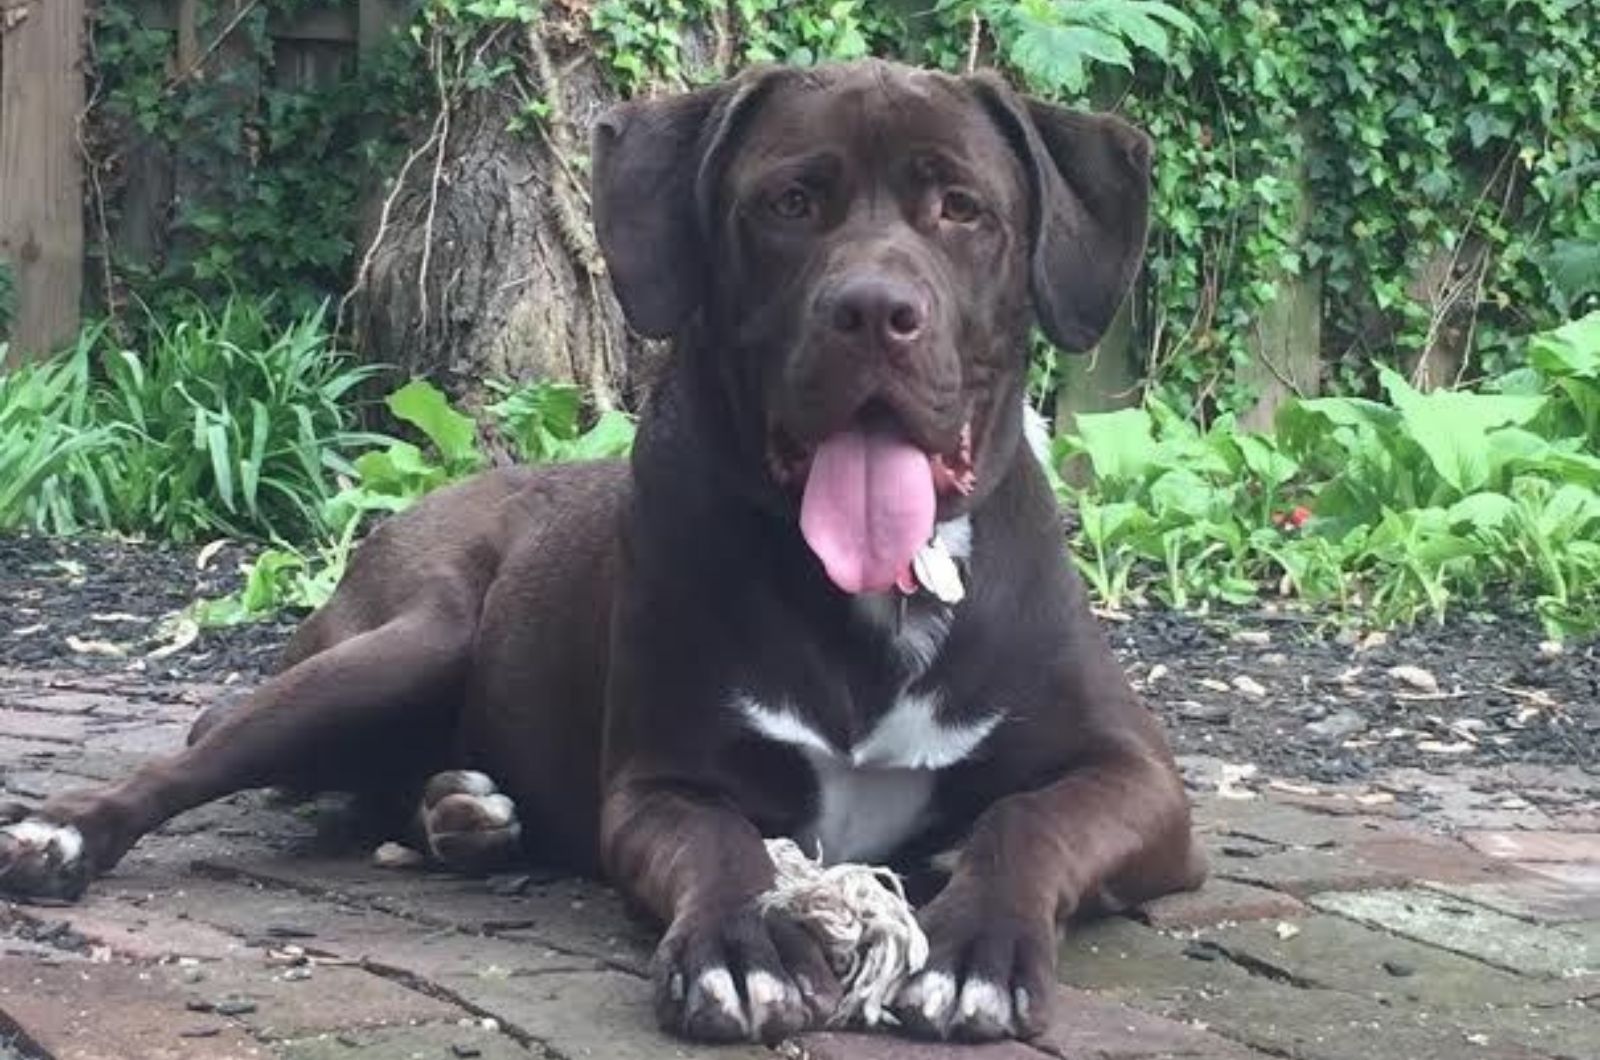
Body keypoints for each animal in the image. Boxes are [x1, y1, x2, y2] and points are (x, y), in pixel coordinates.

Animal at [0, 62, 1203, 1050]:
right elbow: (725, 849)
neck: (872, 600)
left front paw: (973, 948)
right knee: (197, 759)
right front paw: (743, 948)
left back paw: (463, 811)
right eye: (789, 203)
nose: (872, 309)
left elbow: (1024, 819)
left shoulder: (1139, 781)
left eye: (961, 207)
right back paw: (65, 836)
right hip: (412, 636)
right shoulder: (662, 782)